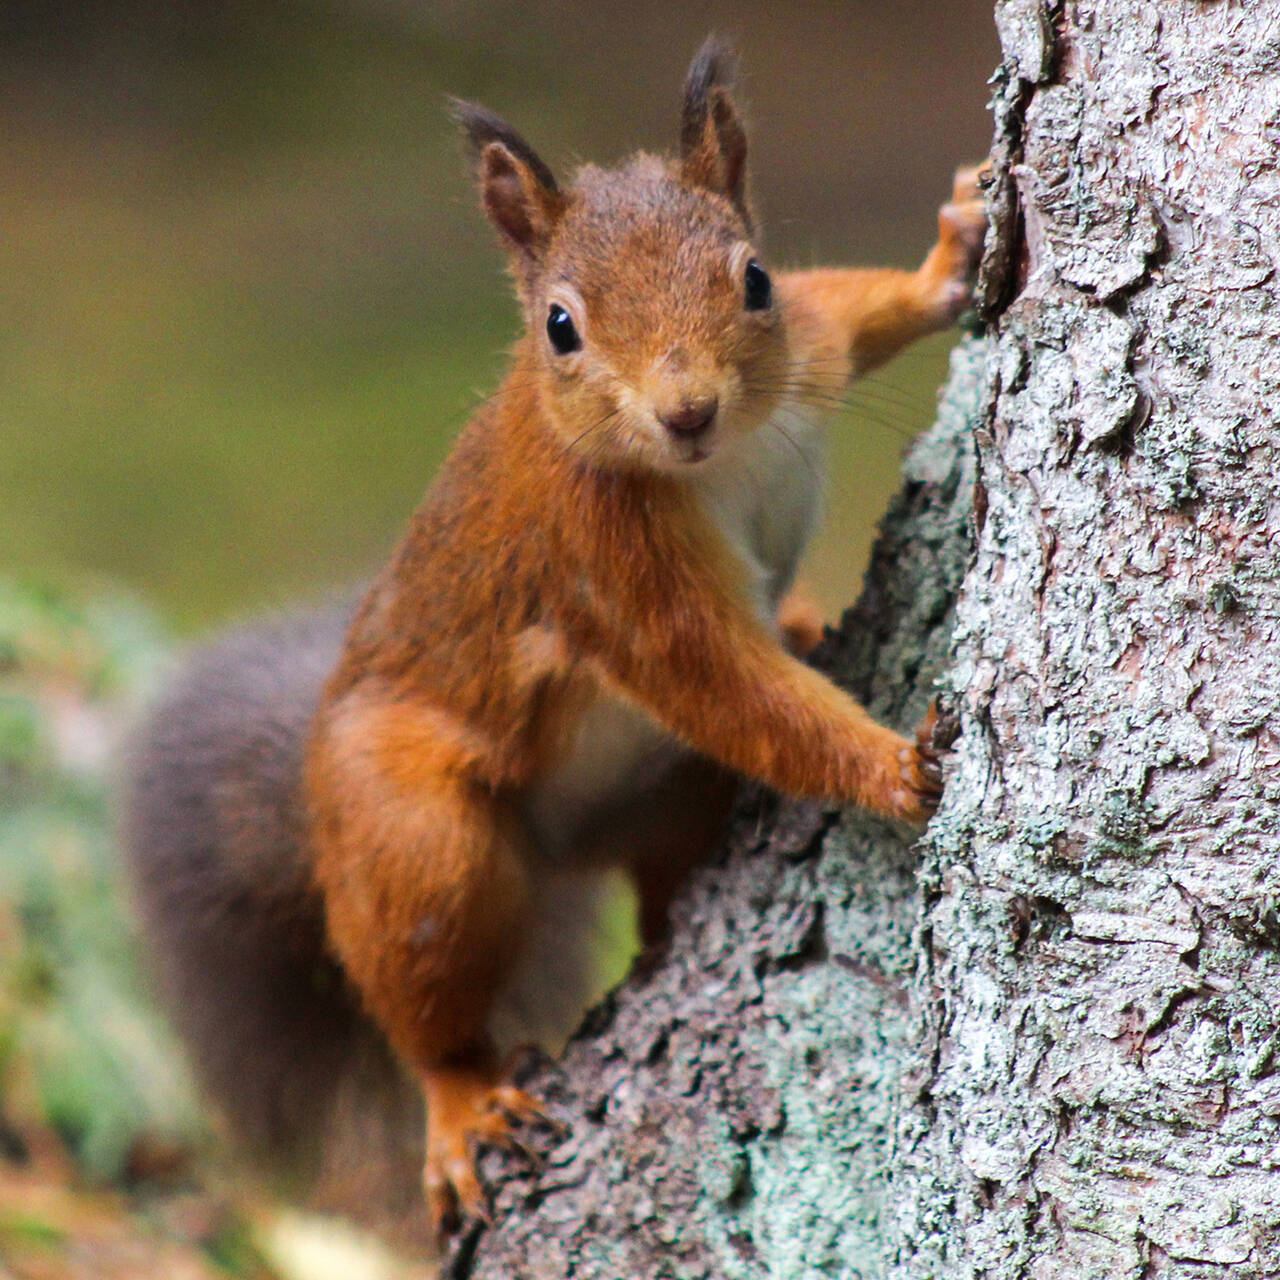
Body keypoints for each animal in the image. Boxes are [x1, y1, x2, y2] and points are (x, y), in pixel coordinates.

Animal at [122, 37, 977, 1239]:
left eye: (753, 278)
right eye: (559, 328)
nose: (686, 409)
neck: (718, 462)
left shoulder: (805, 349)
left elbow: (850, 307)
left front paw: (954, 252)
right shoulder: (610, 573)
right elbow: (731, 689)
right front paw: (897, 765)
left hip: (666, 799)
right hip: (413, 837)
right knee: (423, 992)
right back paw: (462, 1103)